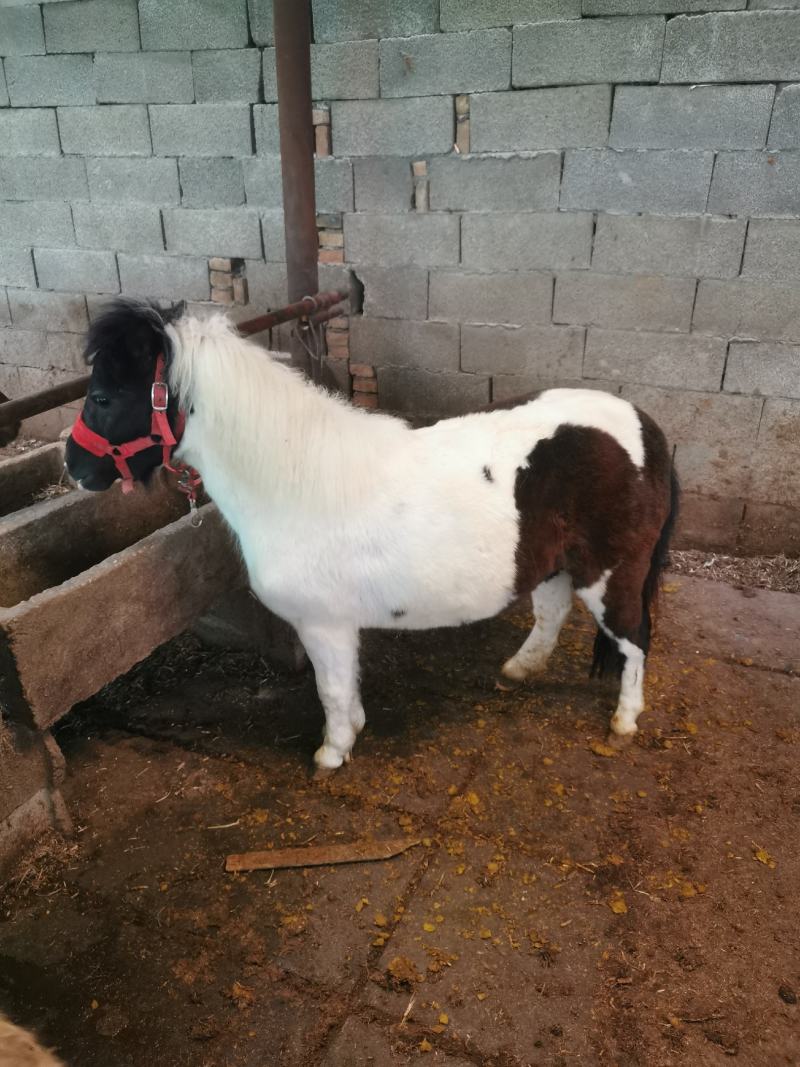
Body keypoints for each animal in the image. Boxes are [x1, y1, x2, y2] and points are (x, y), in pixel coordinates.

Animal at [66, 299, 679, 771]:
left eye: (102, 397)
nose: (74, 466)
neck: (293, 479)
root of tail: (643, 425)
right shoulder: (337, 626)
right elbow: (347, 684)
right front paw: (351, 732)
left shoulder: (323, 624)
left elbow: (331, 689)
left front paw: (333, 753)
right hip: (556, 560)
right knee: (552, 613)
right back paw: (519, 670)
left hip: (612, 571)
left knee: (634, 636)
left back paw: (624, 720)